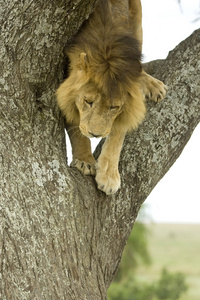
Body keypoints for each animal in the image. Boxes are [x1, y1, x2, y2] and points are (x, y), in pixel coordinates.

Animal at [55, 0, 167, 195]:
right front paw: (85, 160)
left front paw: (108, 176)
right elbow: (76, 128)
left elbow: (117, 135)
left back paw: (152, 84)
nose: (96, 134)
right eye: (88, 102)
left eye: (114, 107)